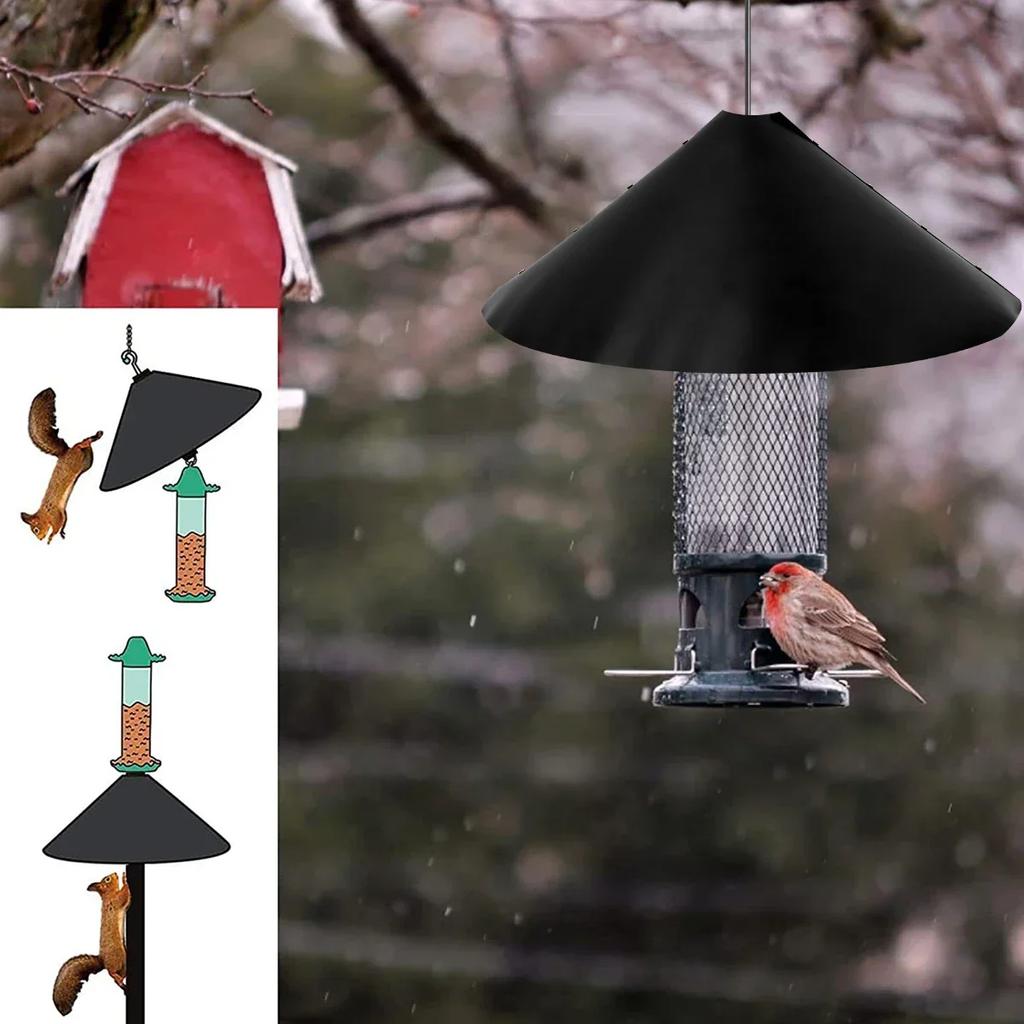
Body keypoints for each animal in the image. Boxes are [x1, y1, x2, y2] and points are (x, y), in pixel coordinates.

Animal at [21, 387, 102, 543]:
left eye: (35, 529)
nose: (39, 539)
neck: (45, 512)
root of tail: (65, 452)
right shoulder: (63, 512)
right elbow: (64, 520)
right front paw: (62, 533)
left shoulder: (55, 514)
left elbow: (57, 524)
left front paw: (51, 537)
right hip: (87, 460)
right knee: (85, 446)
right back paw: (93, 438)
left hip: (76, 458)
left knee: (79, 444)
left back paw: (89, 439)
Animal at [52, 871, 130, 1016]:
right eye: (107, 879)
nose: (114, 873)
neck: (107, 895)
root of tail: (103, 961)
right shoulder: (116, 900)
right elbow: (125, 895)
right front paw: (124, 879)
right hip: (118, 956)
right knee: (111, 972)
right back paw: (116, 977)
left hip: (124, 962)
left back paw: (122, 982)